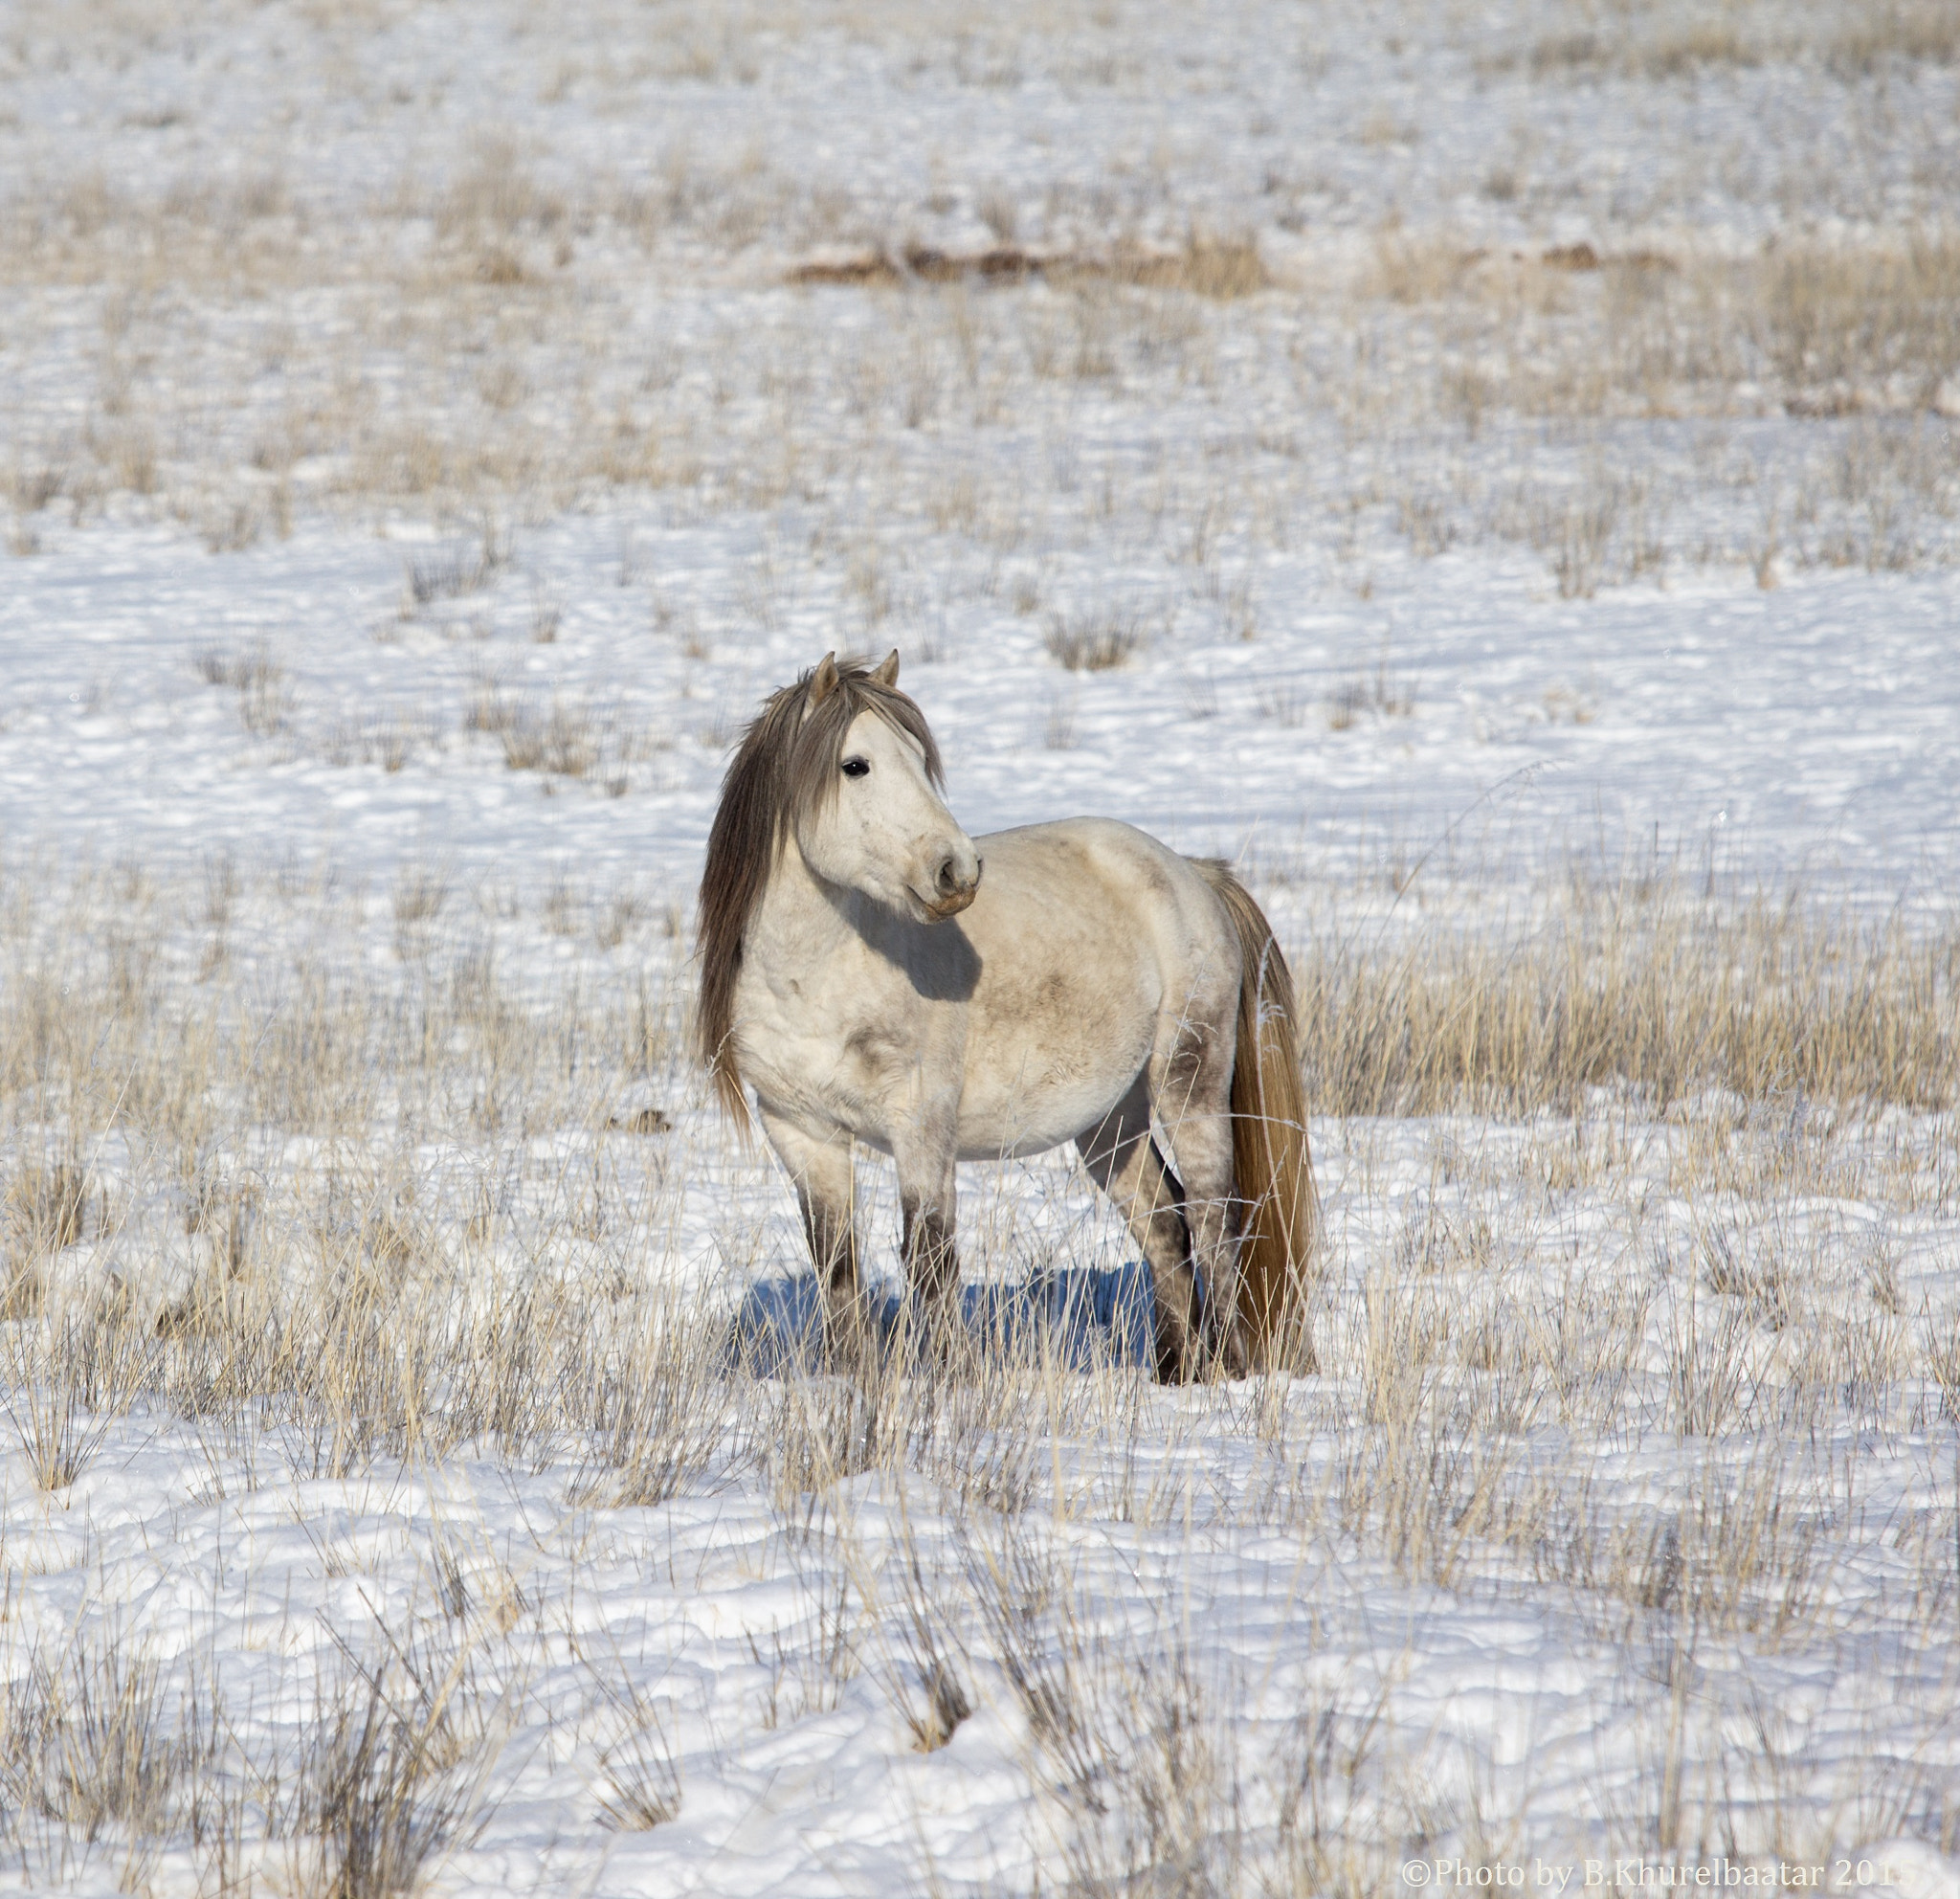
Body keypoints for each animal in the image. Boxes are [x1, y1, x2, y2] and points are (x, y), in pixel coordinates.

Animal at [695, 649, 1316, 1380]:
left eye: (918, 757)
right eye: (856, 765)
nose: (957, 872)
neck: (814, 980)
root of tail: (1190, 873)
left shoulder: (921, 1128)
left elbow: (930, 1259)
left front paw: (946, 1379)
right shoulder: (801, 1133)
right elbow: (838, 1265)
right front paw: (850, 1378)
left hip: (1188, 1081)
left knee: (1216, 1218)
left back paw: (1229, 1369)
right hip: (1111, 1119)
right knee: (1166, 1225)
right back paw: (1175, 1372)